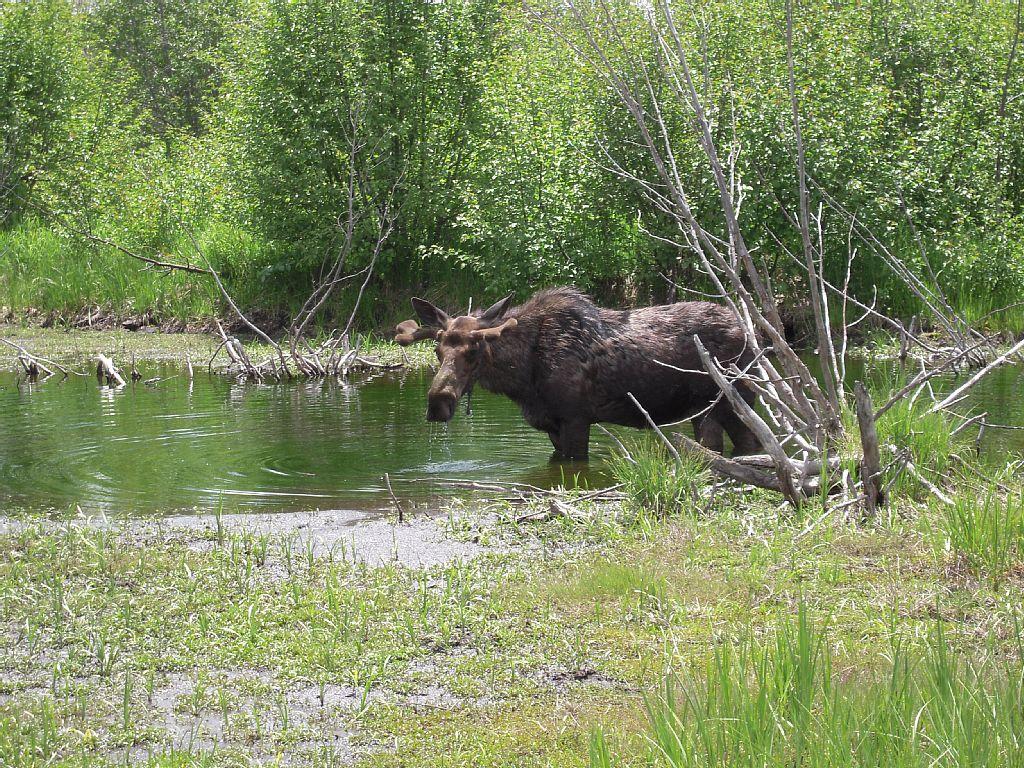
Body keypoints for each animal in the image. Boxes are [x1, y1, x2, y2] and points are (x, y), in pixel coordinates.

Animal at [395, 286, 765, 456]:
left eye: (474, 350)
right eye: (437, 349)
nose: (438, 402)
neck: (522, 379)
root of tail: (751, 333)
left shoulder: (576, 418)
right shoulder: (550, 425)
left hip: (735, 401)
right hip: (708, 411)